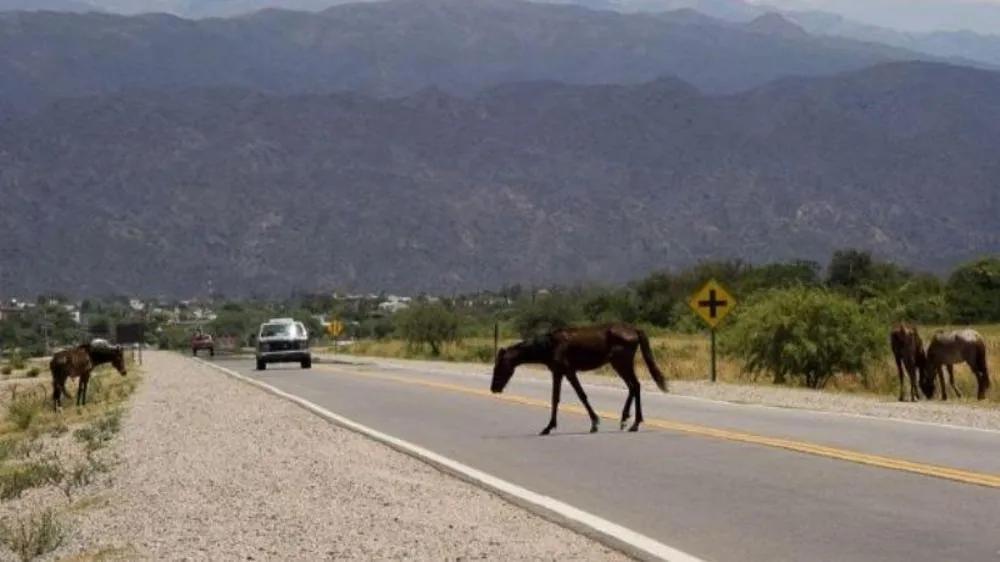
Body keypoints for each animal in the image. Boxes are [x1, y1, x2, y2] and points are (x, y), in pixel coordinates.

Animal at [491, 324, 668, 435]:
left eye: (499, 367)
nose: (494, 388)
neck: (550, 345)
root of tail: (635, 330)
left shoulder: (568, 371)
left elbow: (580, 395)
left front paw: (594, 423)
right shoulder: (559, 373)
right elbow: (556, 398)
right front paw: (549, 427)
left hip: (621, 363)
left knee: (635, 386)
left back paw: (634, 423)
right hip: (619, 364)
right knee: (633, 386)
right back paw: (626, 419)